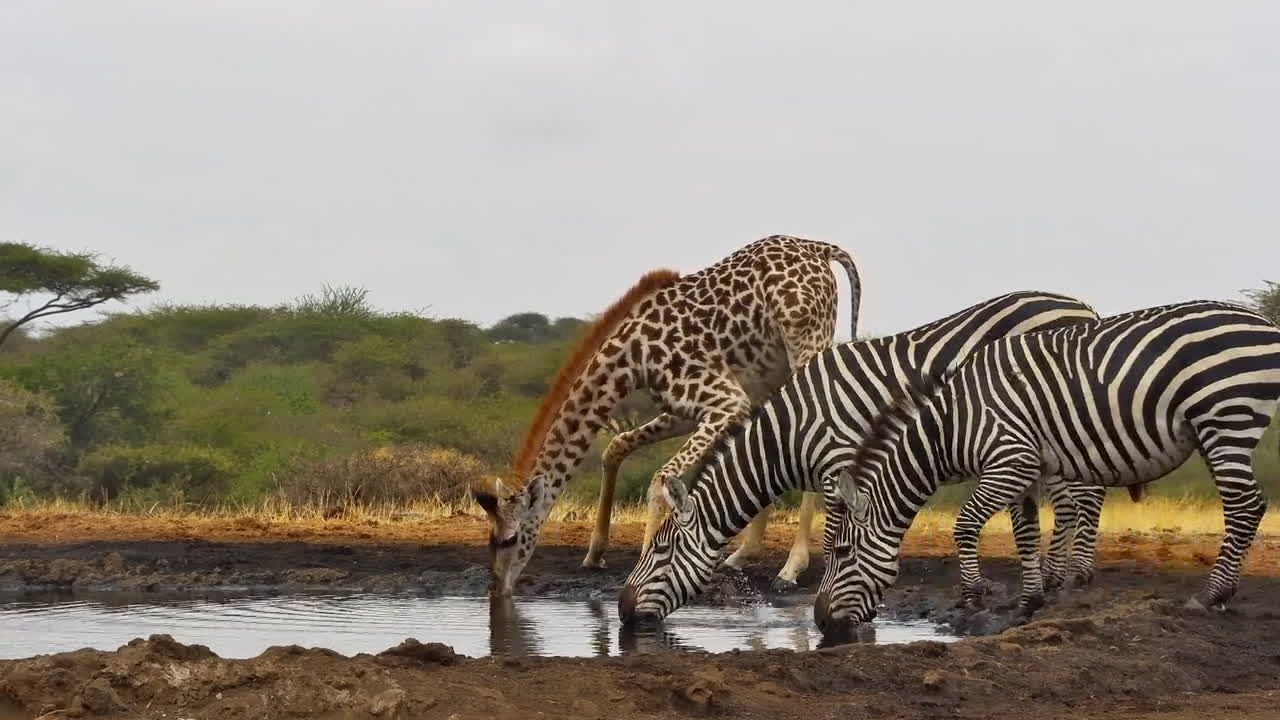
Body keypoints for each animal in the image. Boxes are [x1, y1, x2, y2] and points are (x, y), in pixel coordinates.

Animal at [473, 235, 863, 597]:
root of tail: (819, 248)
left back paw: (791, 568)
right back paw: (742, 555)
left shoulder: (725, 400)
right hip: (775, 370)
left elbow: (660, 480)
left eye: (509, 538)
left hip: (806, 343)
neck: (631, 359)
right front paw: (594, 555)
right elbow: (616, 446)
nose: (498, 587)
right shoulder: (685, 410)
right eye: (489, 537)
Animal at [617, 289, 1115, 624]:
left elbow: (837, 536)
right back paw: (1063, 575)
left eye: (660, 551)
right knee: (1076, 501)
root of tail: (1082, 306)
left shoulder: (839, 463)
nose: (622, 612)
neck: (791, 430)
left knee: (1082, 499)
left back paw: (1072, 575)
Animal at [813, 300, 1280, 639]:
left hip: (1226, 419)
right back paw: (1220, 593)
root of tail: (1263, 322)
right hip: (1215, 429)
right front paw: (1029, 601)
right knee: (1248, 505)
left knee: (1244, 506)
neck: (951, 425)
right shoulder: (1024, 469)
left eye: (842, 552)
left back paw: (1210, 595)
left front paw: (973, 594)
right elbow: (1027, 532)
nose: (819, 623)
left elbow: (965, 525)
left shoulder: (1010, 460)